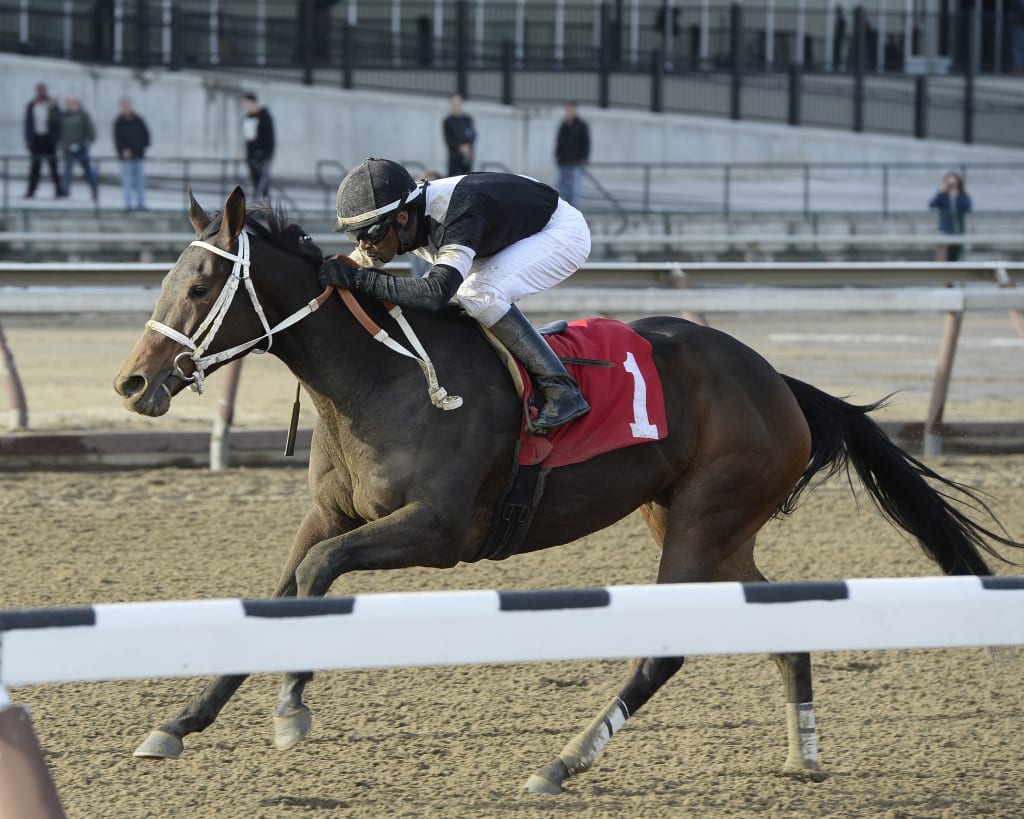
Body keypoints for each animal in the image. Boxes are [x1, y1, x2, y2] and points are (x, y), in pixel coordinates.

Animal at [114, 187, 1024, 794]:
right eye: (167, 280)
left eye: (200, 287)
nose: (131, 383)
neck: (380, 378)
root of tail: (779, 383)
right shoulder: (328, 514)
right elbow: (280, 592)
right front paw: (175, 723)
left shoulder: (438, 531)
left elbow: (315, 578)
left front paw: (290, 709)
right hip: (704, 524)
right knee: (775, 618)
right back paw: (802, 751)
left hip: (703, 519)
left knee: (667, 648)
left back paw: (564, 760)